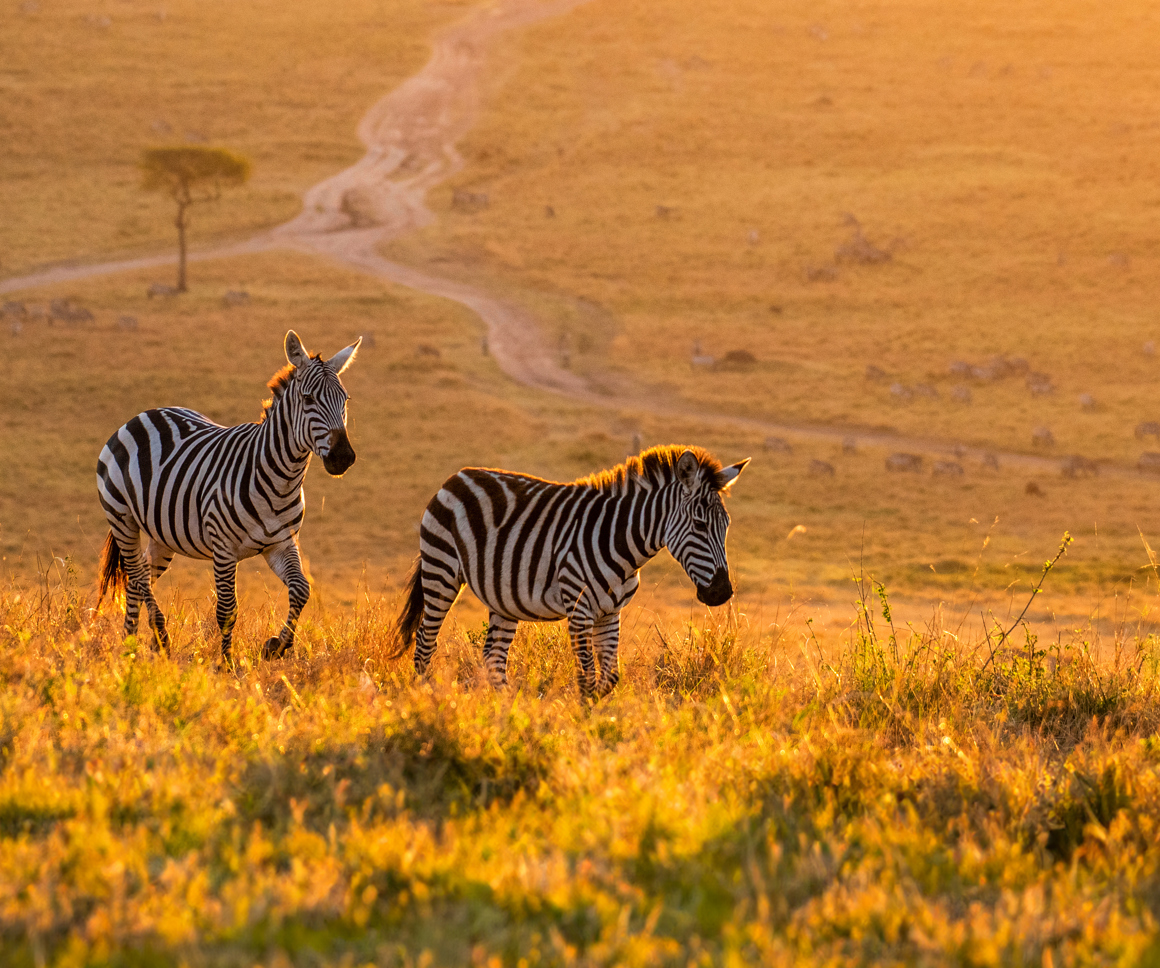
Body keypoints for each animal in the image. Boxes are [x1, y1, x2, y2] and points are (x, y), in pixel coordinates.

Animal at [97, 327, 359, 659]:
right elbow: (227, 610)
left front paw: (277, 645)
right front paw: (225, 663)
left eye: (345, 399)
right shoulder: (223, 549)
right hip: (122, 517)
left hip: (162, 534)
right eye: (308, 398)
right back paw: (158, 635)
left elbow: (301, 590)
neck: (281, 480)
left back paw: (129, 646)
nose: (343, 457)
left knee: (136, 578)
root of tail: (144, 414)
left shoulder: (281, 544)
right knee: (137, 574)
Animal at [394, 441, 747, 696]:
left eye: (727, 525)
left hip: (501, 598)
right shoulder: (579, 609)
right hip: (441, 570)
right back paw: (426, 698)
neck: (620, 541)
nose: (722, 592)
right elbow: (587, 677)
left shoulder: (611, 613)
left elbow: (609, 678)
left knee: (493, 658)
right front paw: (586, 729)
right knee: (425, 641)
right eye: (700, 525)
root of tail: (458, 476)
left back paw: (508, 710)